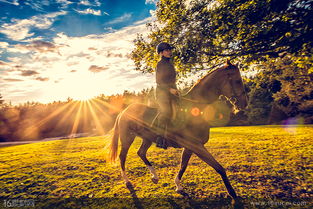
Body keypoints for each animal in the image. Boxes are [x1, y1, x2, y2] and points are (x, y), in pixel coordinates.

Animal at [106, 60, 246, 202]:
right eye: (238, 81)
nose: (244, 104)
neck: (195, 108)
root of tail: (124, 111)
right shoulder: (196, 146)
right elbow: (219, 168)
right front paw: (233, 194)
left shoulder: (190, 147)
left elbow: (183, 165)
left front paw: (178, 186)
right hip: (127, 138)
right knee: (122, 157)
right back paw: (127, 181)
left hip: (147, 139)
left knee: (141, 153)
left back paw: (154, 176)